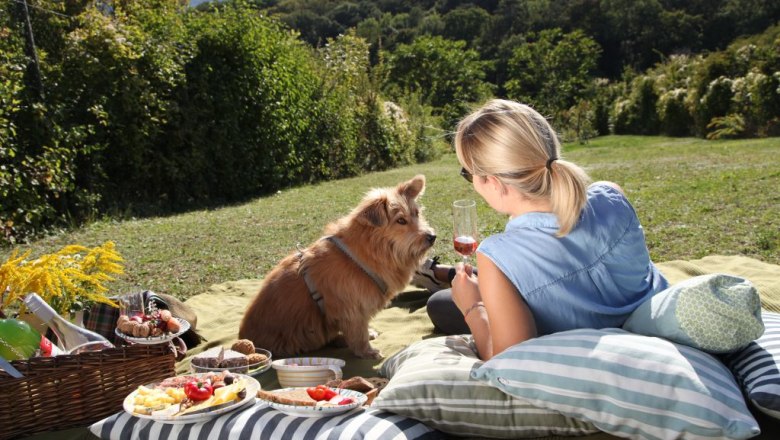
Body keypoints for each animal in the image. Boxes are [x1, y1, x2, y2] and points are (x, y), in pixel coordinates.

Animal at [239, 174, 432, 360]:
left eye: (416, 213)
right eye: (401, 220)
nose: (432, 237)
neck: (365, 252)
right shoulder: (352, 310)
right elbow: (358, 334)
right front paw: (367, 351)